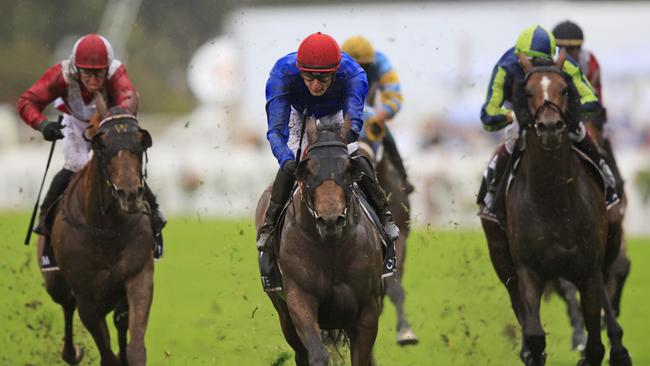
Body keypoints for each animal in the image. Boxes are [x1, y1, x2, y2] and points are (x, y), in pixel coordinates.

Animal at [38, 97, 154, 366]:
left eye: (141, 141)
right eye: (102, 145)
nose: (129, 194)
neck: (106, 228)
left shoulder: (139, 276)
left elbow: (135, 349)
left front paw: (129, 354)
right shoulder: (87, 298)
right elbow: (107, 355)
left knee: (120, 322)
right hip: (55, 283)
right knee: (67, 306)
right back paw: (71, 353)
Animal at [254, 117, 384, 366]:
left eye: (348, 169)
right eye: (308, 171)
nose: (330, 220)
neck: (332, 249)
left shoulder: (367, 309)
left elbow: (362, 357)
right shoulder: (299, 299)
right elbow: (317, 354)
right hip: (283, 314)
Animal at [476, 51, 628, 366]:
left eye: (565, 89)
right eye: (528, 92)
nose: (550, 127)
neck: (555, 200)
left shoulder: (588, 270)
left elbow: (595, 346)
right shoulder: (528, 270)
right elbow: (535, 335)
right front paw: (530, 349)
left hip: (610, 237)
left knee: (608, 282)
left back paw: (619, 346)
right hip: (500, 254)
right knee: (516, 300)